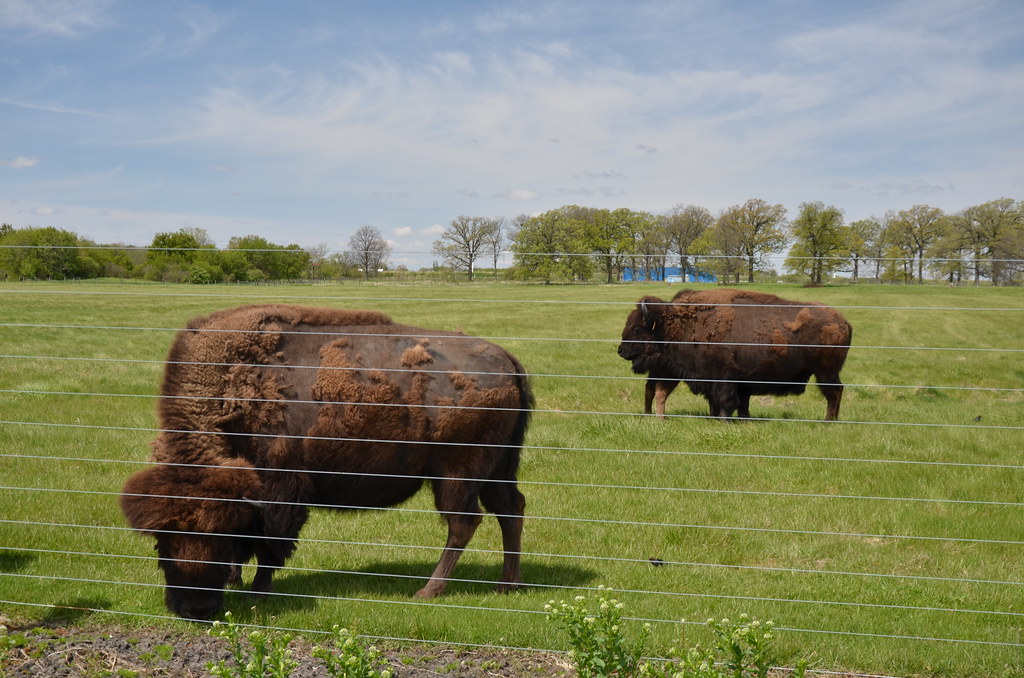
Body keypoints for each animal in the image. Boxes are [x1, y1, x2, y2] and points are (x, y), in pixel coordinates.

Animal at [120, 304, 532, 619]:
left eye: (216, 539)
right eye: (162, 542)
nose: (194, 608)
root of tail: (507, 360)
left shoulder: (281, 490)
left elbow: (270, 544)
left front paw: (258, 592)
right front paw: (238, 579)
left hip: (456, 474)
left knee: (464, 522)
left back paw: (429, 590)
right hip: (497, 469)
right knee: (510, 510)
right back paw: (506, 585)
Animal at [617, 288, 852, 420]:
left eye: (637, 329)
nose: (621, 350)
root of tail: (843, 321)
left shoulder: (724, 378)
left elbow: (726, 401)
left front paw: (724, 420)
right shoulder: (729, 381)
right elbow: (735, 402)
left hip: (825, 372)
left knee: (834, 392)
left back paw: (828, 422)